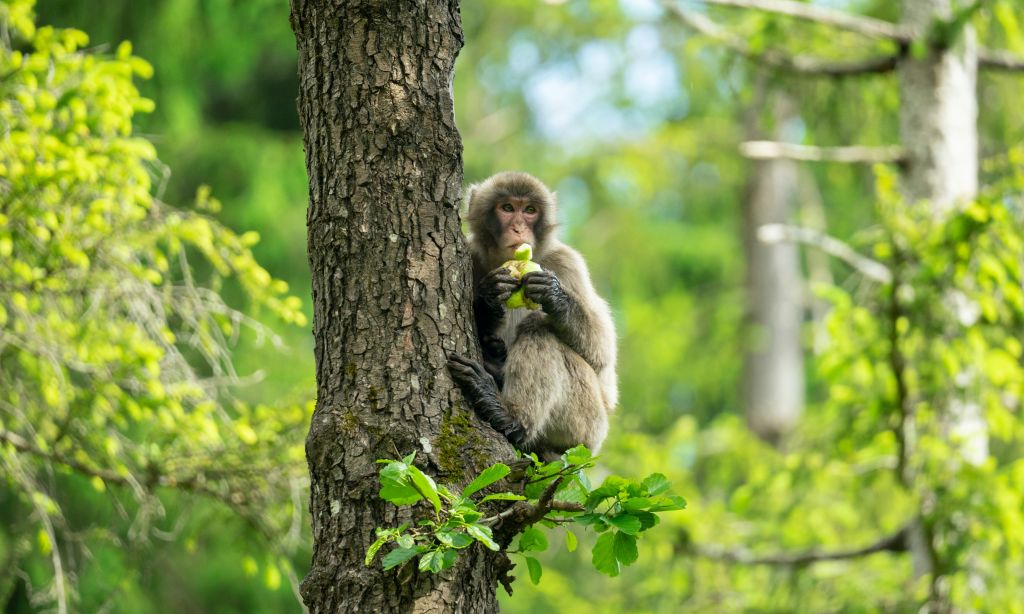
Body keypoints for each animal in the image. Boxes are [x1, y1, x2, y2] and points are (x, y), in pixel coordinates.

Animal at [447, 172, 618, 458]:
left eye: (529, 210)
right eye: (507, 208)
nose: (518, 228)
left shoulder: (566, 262)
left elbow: (602, 355)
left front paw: (554, 295)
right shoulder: (470, 256)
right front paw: (488, 297)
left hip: (587, 425)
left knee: (539, 328)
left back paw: (509, 416)